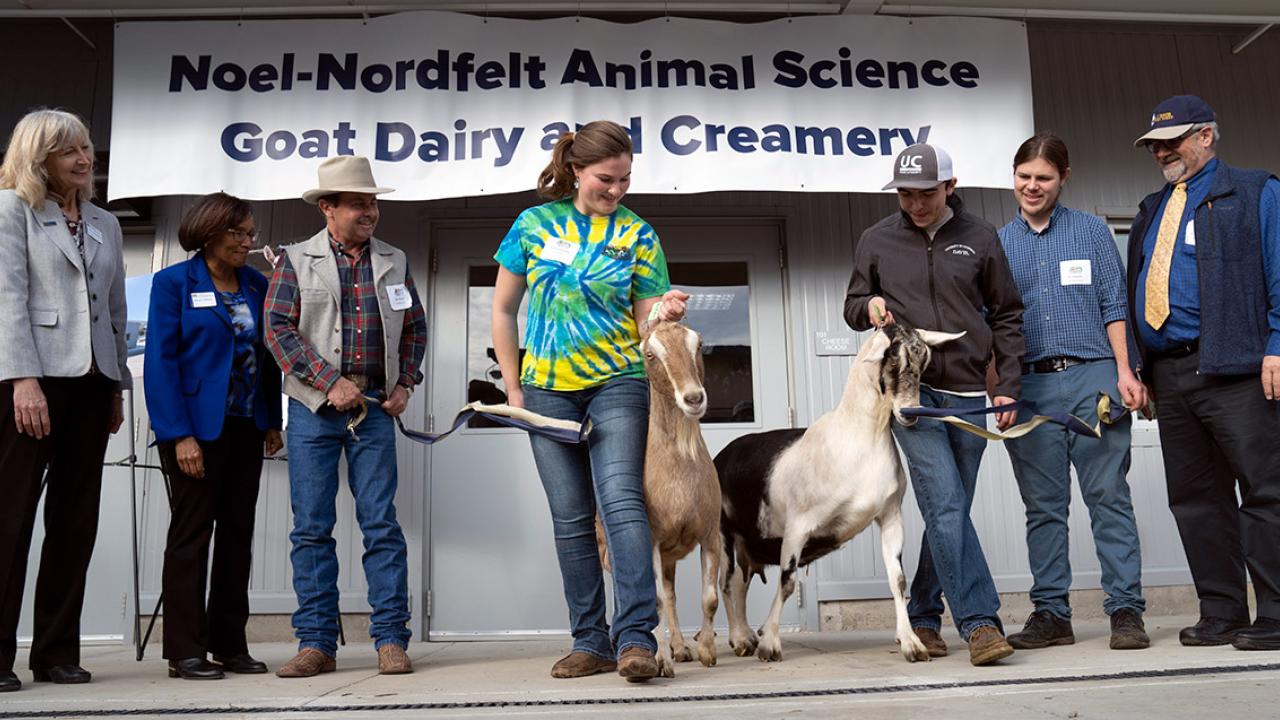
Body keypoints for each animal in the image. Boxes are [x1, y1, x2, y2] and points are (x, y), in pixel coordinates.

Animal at [716, 325, 962, 661]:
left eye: (923, 362)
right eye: (893, 359)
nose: (910, 414)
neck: (856, 437)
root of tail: (720, 457)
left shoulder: (890, 516)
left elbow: (898, 581)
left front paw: (911, 643)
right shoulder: (798, 525)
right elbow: (787, 582)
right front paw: (770, 644)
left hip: (746, 543)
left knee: (739, 584)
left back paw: (744, 637)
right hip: (724, 534)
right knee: (726, 584)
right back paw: (738, 639)